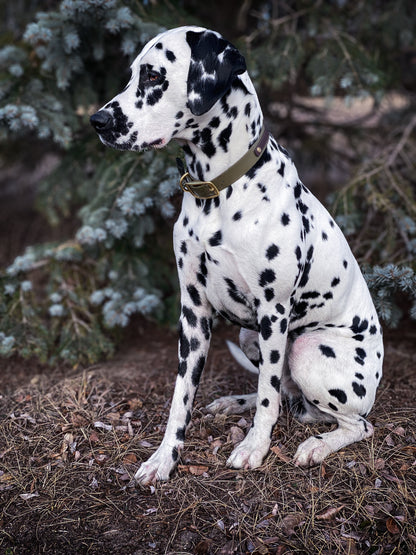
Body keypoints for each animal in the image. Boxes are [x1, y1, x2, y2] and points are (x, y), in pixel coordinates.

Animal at [90, 27, 384, 486]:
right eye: (132, 73)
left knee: (351, 422)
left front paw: (254, 448)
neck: (217, 192)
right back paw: (236, 403)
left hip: (306, 349)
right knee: (287, 395)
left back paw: (317, 446)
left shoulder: (273, 312)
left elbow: (268, 397)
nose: (98, 121)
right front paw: (164, 458)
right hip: (250, 337)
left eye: (154, 75)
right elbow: (182, 397)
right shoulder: (193, 313)